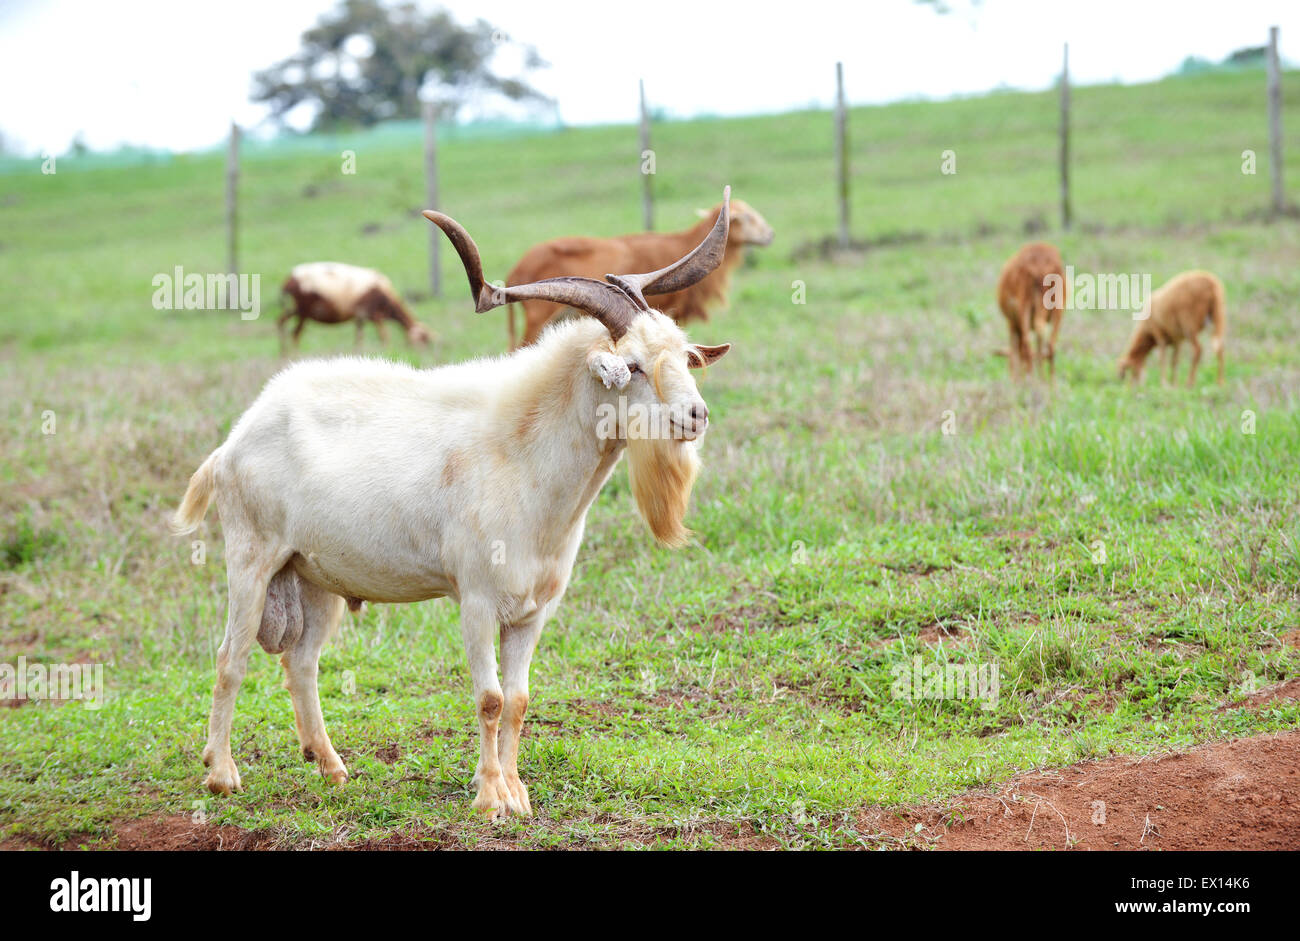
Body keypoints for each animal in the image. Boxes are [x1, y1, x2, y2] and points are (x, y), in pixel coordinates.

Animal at [278, 261, 431, 353]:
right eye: (422, 340)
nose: (423, 354)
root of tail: (288, 280)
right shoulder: (374, 315)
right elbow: (384, 336)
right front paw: (386, 352)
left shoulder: (360, 317)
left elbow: (359, 338)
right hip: (302, 310)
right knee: (295, 333)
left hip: (292, 309)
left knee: (281, 323)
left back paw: (284, 354)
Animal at [993, 240, 1066, 379]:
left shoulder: (1012, 324)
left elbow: (1016, 352)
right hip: (1057, 310)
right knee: (1050, 345)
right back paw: (1049, 384)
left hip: (1024, 309)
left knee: (1027, 345)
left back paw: (1032, 381)